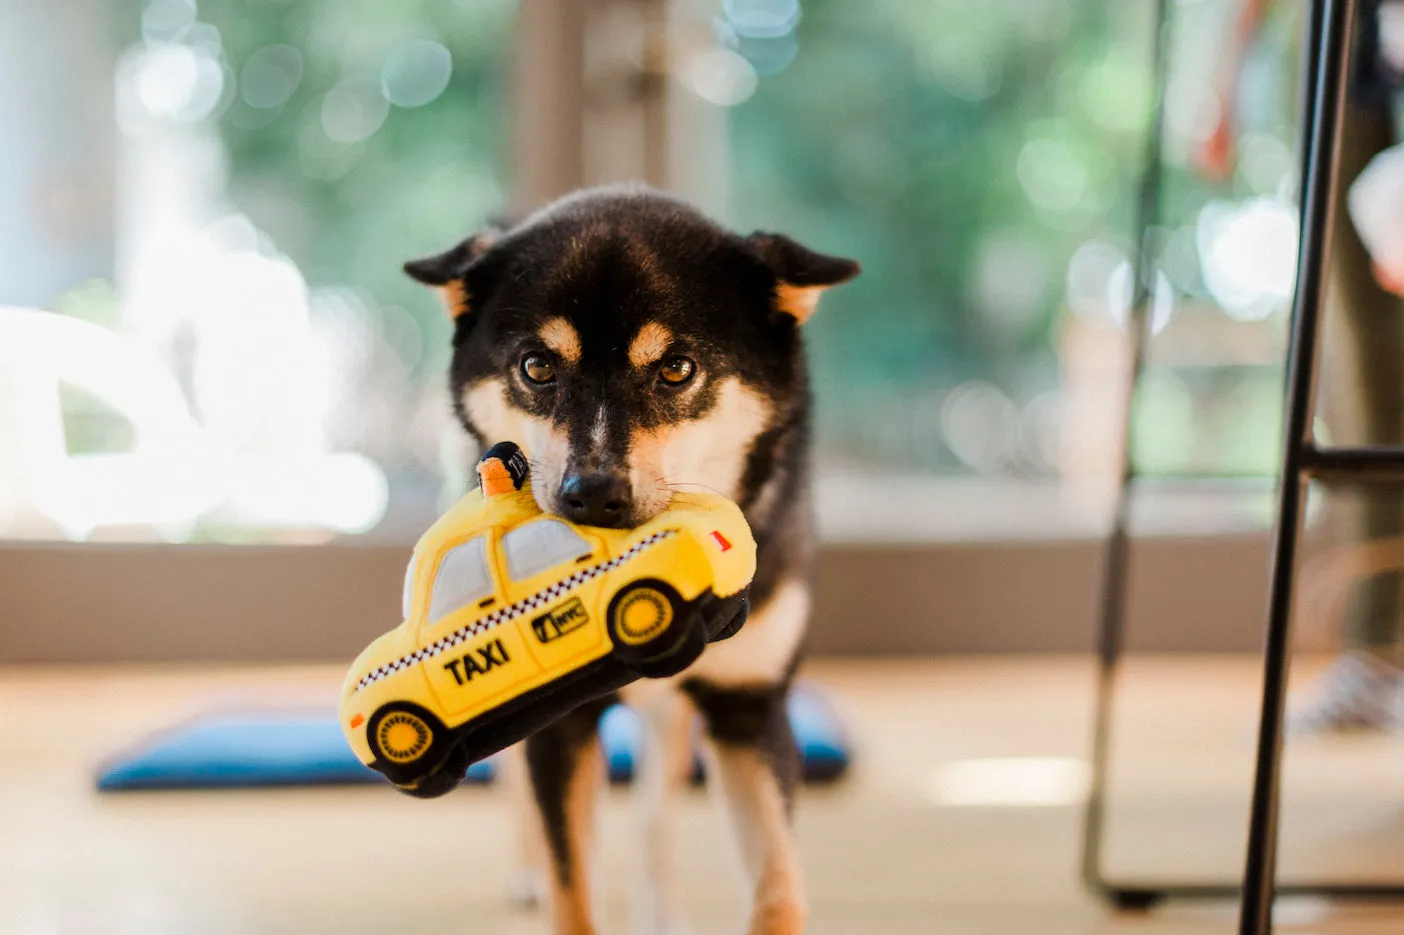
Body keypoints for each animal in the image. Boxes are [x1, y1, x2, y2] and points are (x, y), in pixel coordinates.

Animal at [407, 183, 859, 932]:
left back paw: (658, 906)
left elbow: (778, 885)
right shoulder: (559, 724)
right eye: (537, 367)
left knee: (656, 809)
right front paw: (552, 877)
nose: (591, 493)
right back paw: (527, 870)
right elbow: (573, 884)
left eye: (676, 368)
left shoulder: (748, 706)